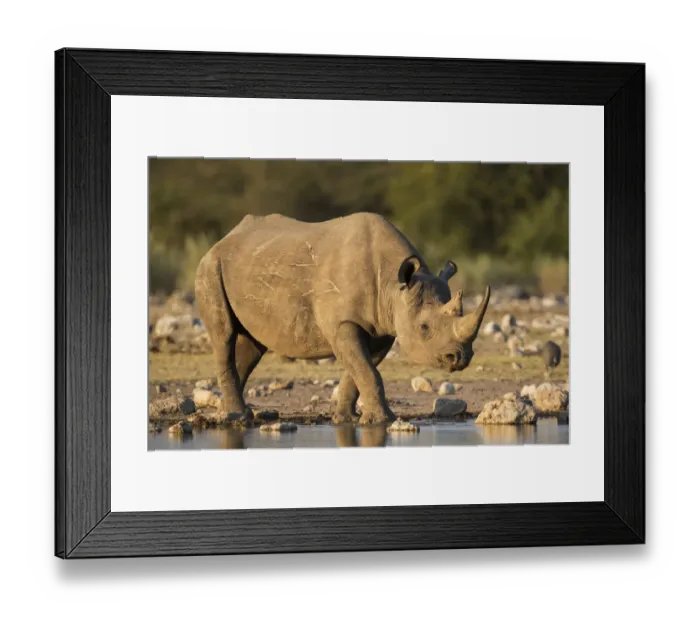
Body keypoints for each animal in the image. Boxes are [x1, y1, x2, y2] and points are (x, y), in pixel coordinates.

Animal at [194, 212, 490, 425]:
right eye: (425, 327)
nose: (460, 358)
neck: (394, 288)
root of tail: (222, 240)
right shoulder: (342, 323)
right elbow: (367, 371)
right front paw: (383, 421)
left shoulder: (381, 328)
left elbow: (361, 369)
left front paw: (347, 419)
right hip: (210, 267)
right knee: (223, 335)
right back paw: (236, 418)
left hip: (251, 265)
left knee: (253, 344)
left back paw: (228, 414)